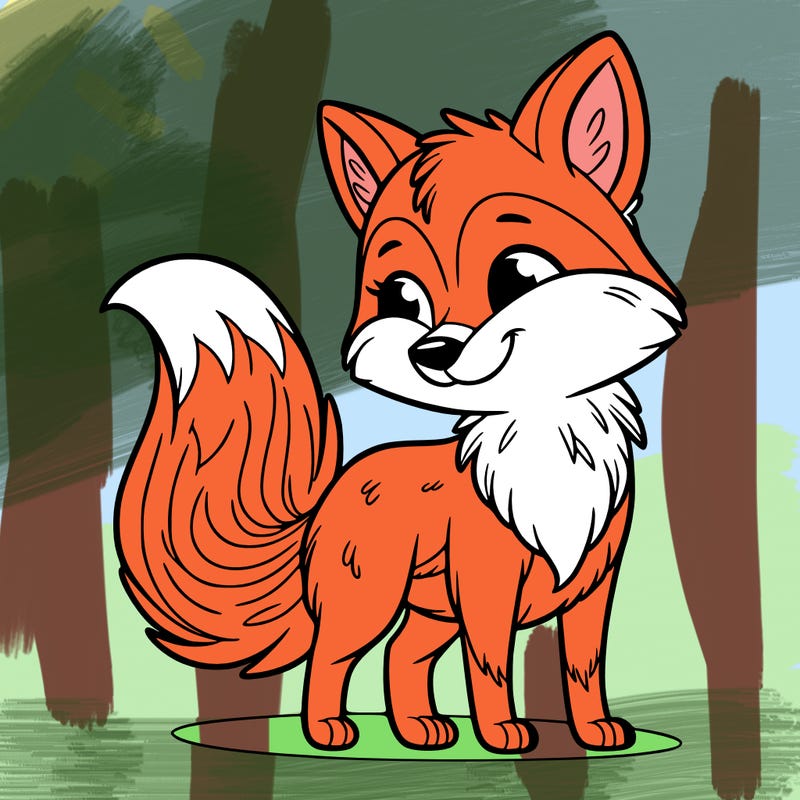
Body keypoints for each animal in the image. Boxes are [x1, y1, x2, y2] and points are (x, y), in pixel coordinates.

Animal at [103, 32, 685, 755]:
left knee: (401, 657)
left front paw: (596, 731)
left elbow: (583, 666)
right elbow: (490, 667)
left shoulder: (593, 586)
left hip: (426, 611)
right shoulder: (486, 591)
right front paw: (503, 734)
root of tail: (332, 494)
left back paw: (419, 729)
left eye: (519, 275)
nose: (431, 352)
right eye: (402, 298)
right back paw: (329, 730)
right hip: (369, 599)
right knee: (332, 659)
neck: (545, 447)